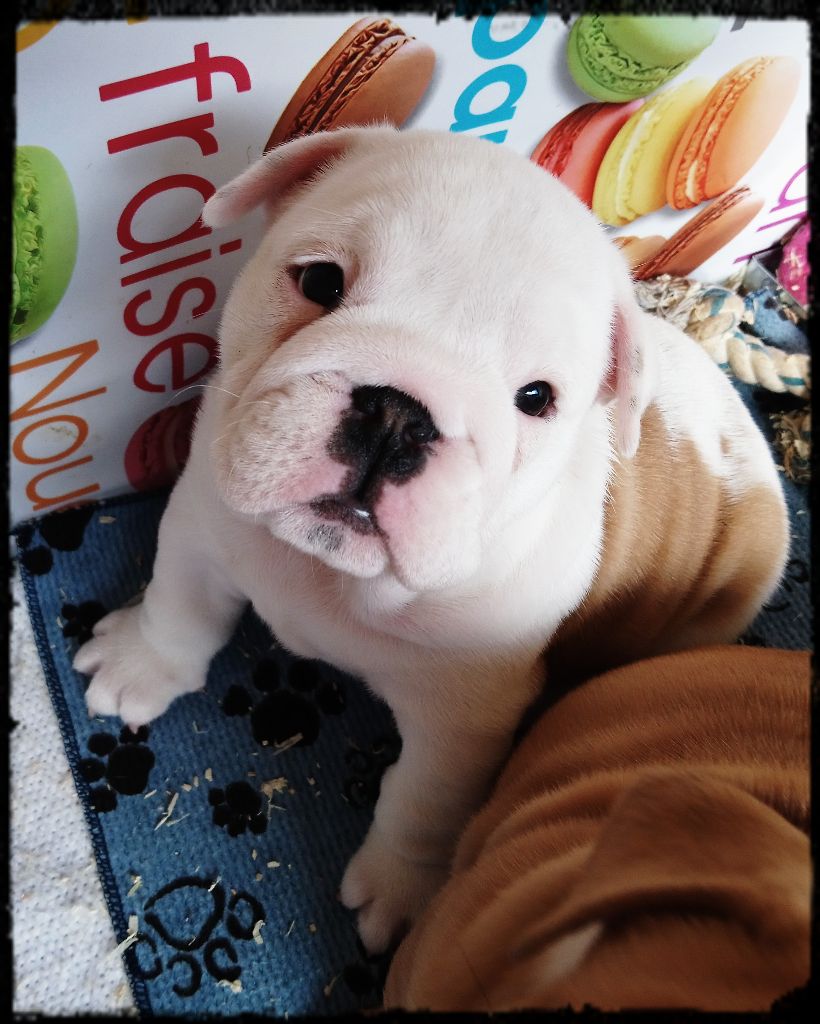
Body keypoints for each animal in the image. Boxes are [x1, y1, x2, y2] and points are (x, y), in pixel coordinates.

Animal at [74, 127, 789, 954]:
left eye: (535, 399)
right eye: (321, 282)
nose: (396, 413)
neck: (329, 572)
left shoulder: (464, 715)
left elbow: (424, 799)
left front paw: (401, 890)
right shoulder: (202, 520)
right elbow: (179, 604)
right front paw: (139, 664)